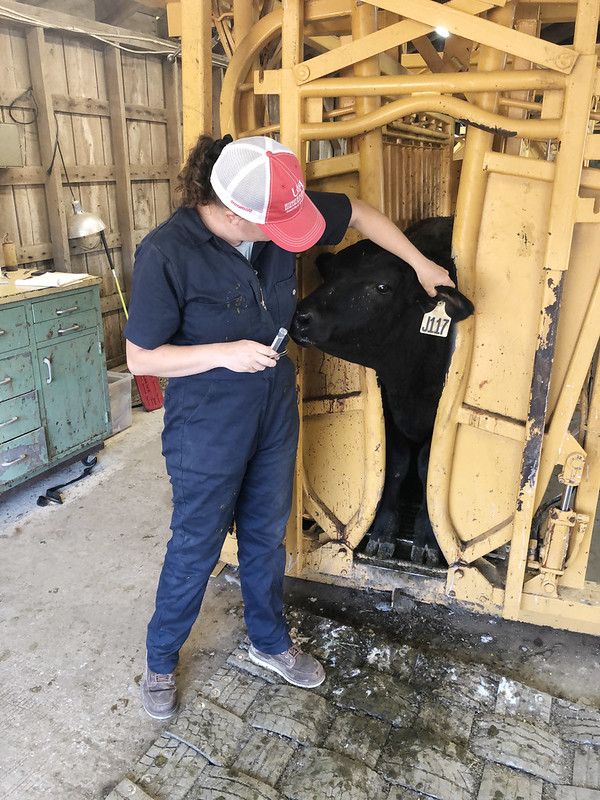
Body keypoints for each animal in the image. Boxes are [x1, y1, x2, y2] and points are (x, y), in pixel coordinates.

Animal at [290, 216, 474, 564]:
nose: (301, 318)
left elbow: (429, 466)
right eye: (331, 274)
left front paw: (428, 538)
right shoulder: (389, 404)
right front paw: (382, 531)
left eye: (383, 287)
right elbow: (397, 463)